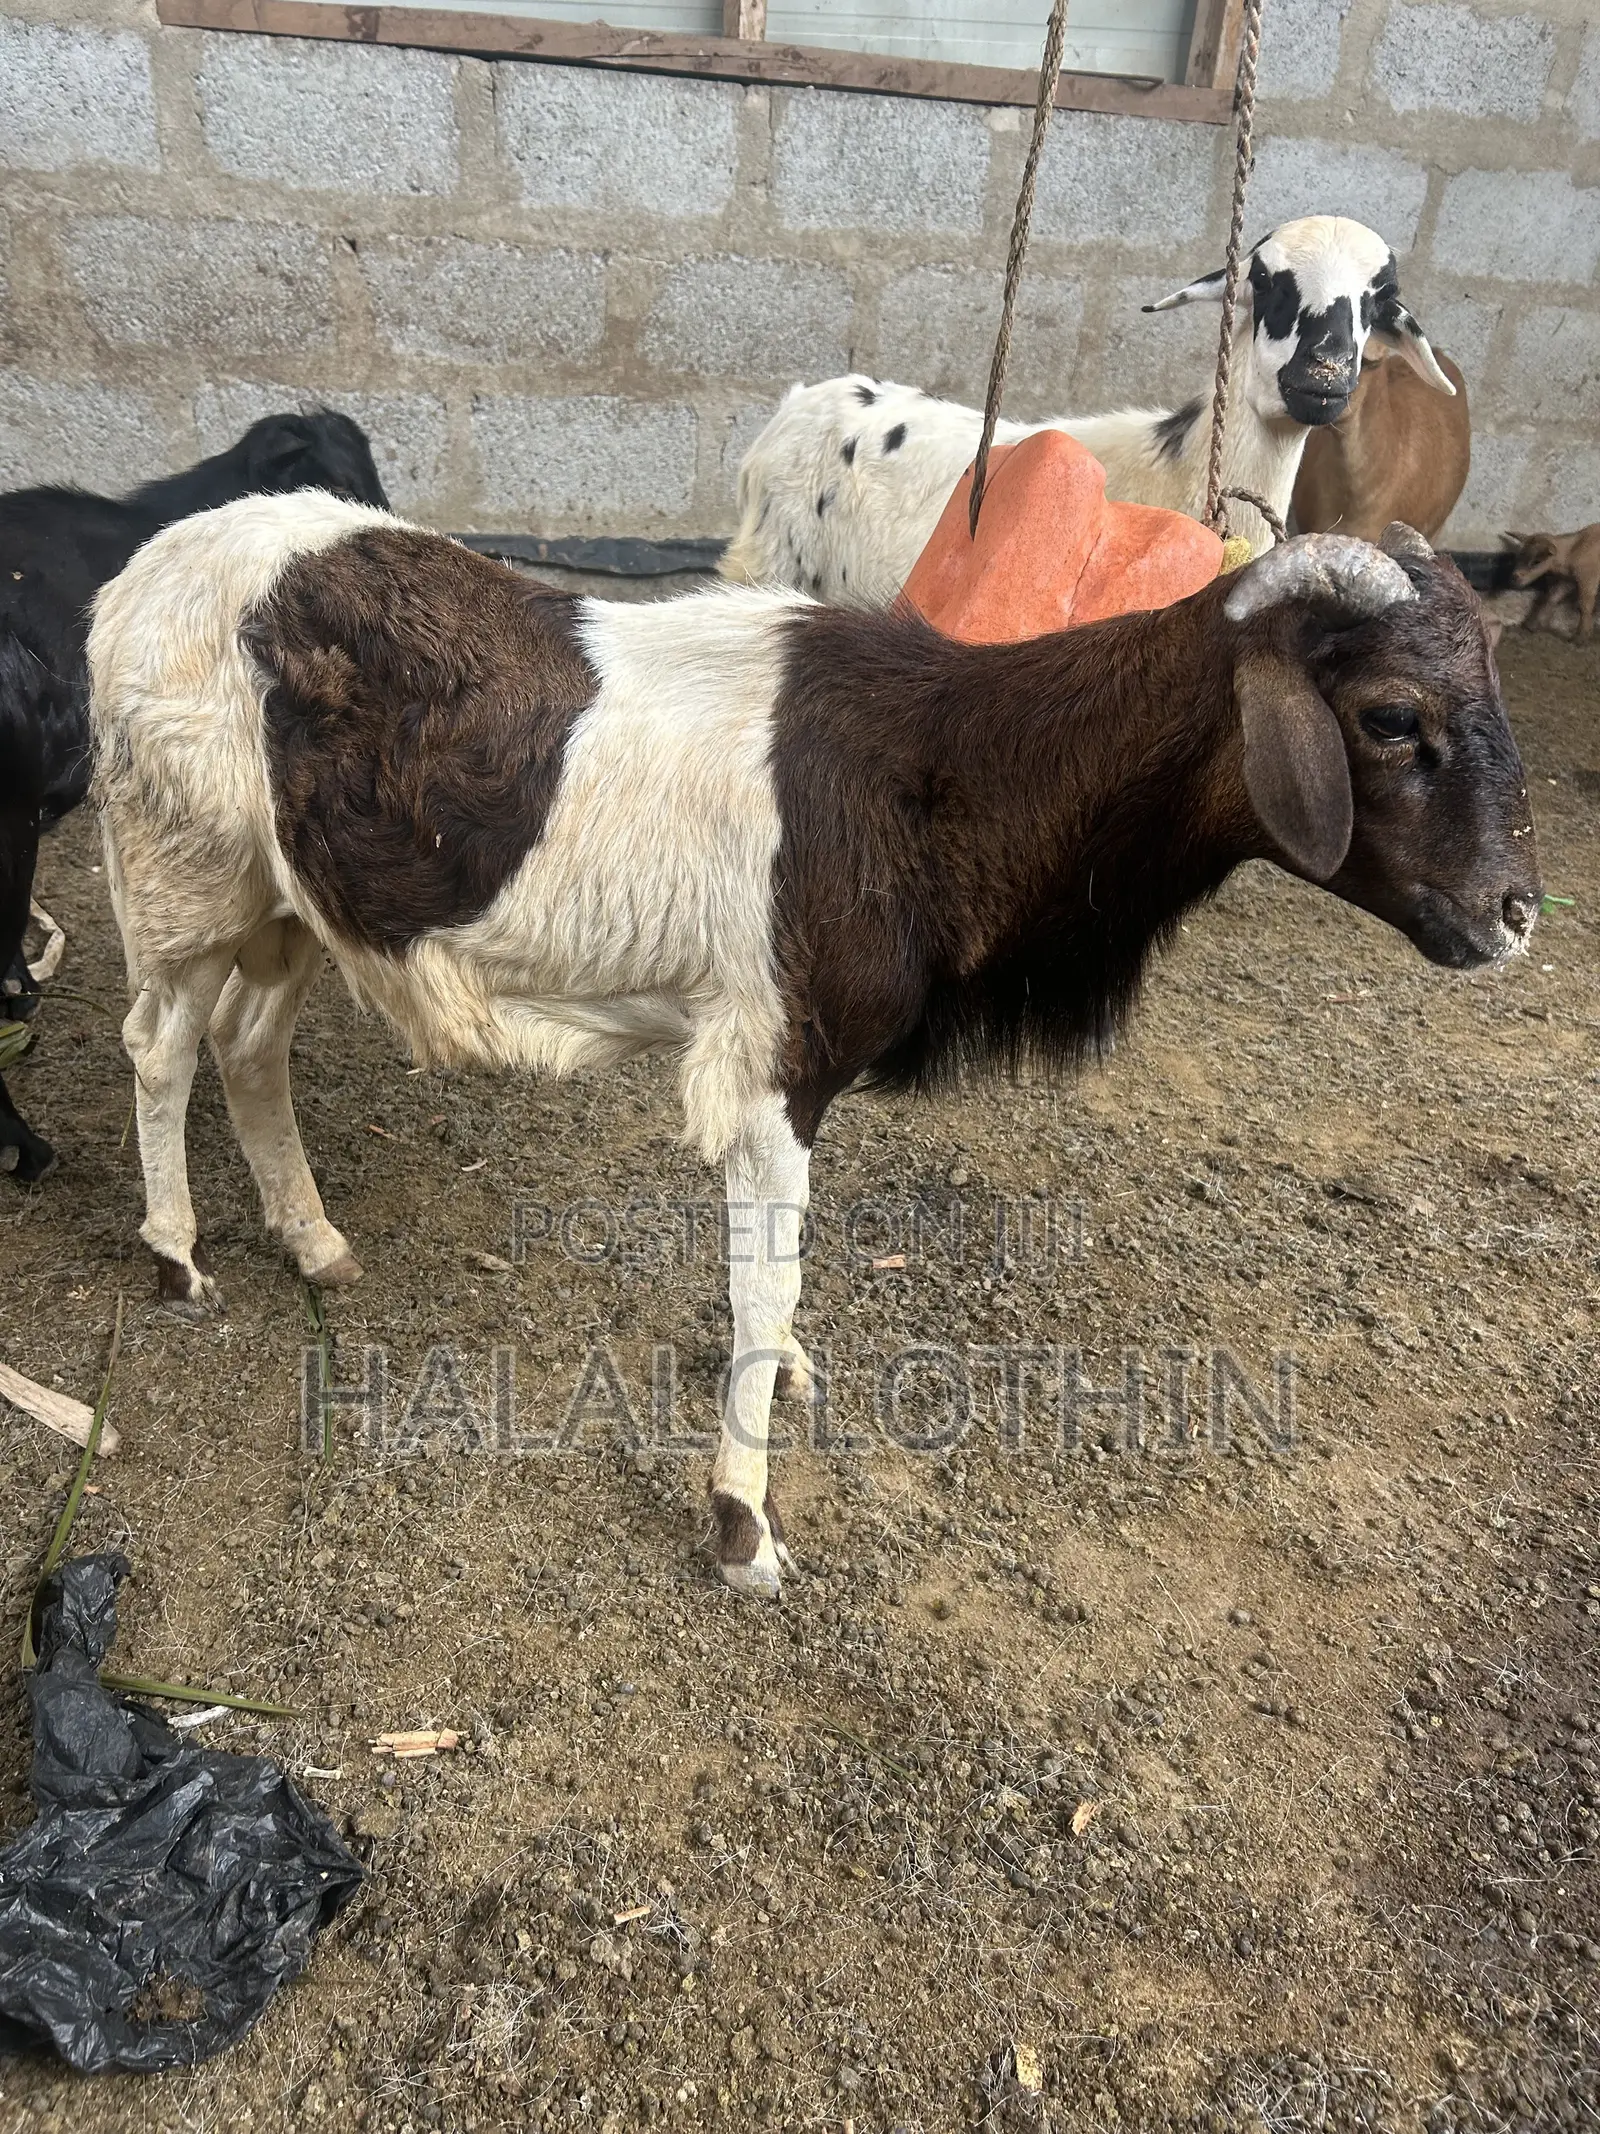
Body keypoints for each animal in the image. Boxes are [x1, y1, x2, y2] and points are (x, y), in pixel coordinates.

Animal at [90, 498, 1539, 1596]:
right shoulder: (771, 1060)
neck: (941, 766)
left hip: (290, 896)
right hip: (182, 866)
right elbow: (766, 1277)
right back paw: (174, 1253)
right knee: (160, 1042)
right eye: (1392, 716)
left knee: (248, 1043)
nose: (1515, 914)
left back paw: (312, 1240)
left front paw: (779, 1389)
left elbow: (773, 1283)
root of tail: (138, 577)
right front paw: (743, 1525)